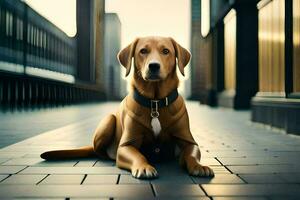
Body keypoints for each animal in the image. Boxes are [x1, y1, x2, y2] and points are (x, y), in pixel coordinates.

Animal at [41, 36, 214, 179]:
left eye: (166, 51)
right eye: (143, 51)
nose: (154, 66)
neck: (155, 103)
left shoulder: (188, 141)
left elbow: (191, 154)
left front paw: (199, 166)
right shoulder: (126, 145)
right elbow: (138, 155)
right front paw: (144, 167)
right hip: (109, 120)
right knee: (99, 151)